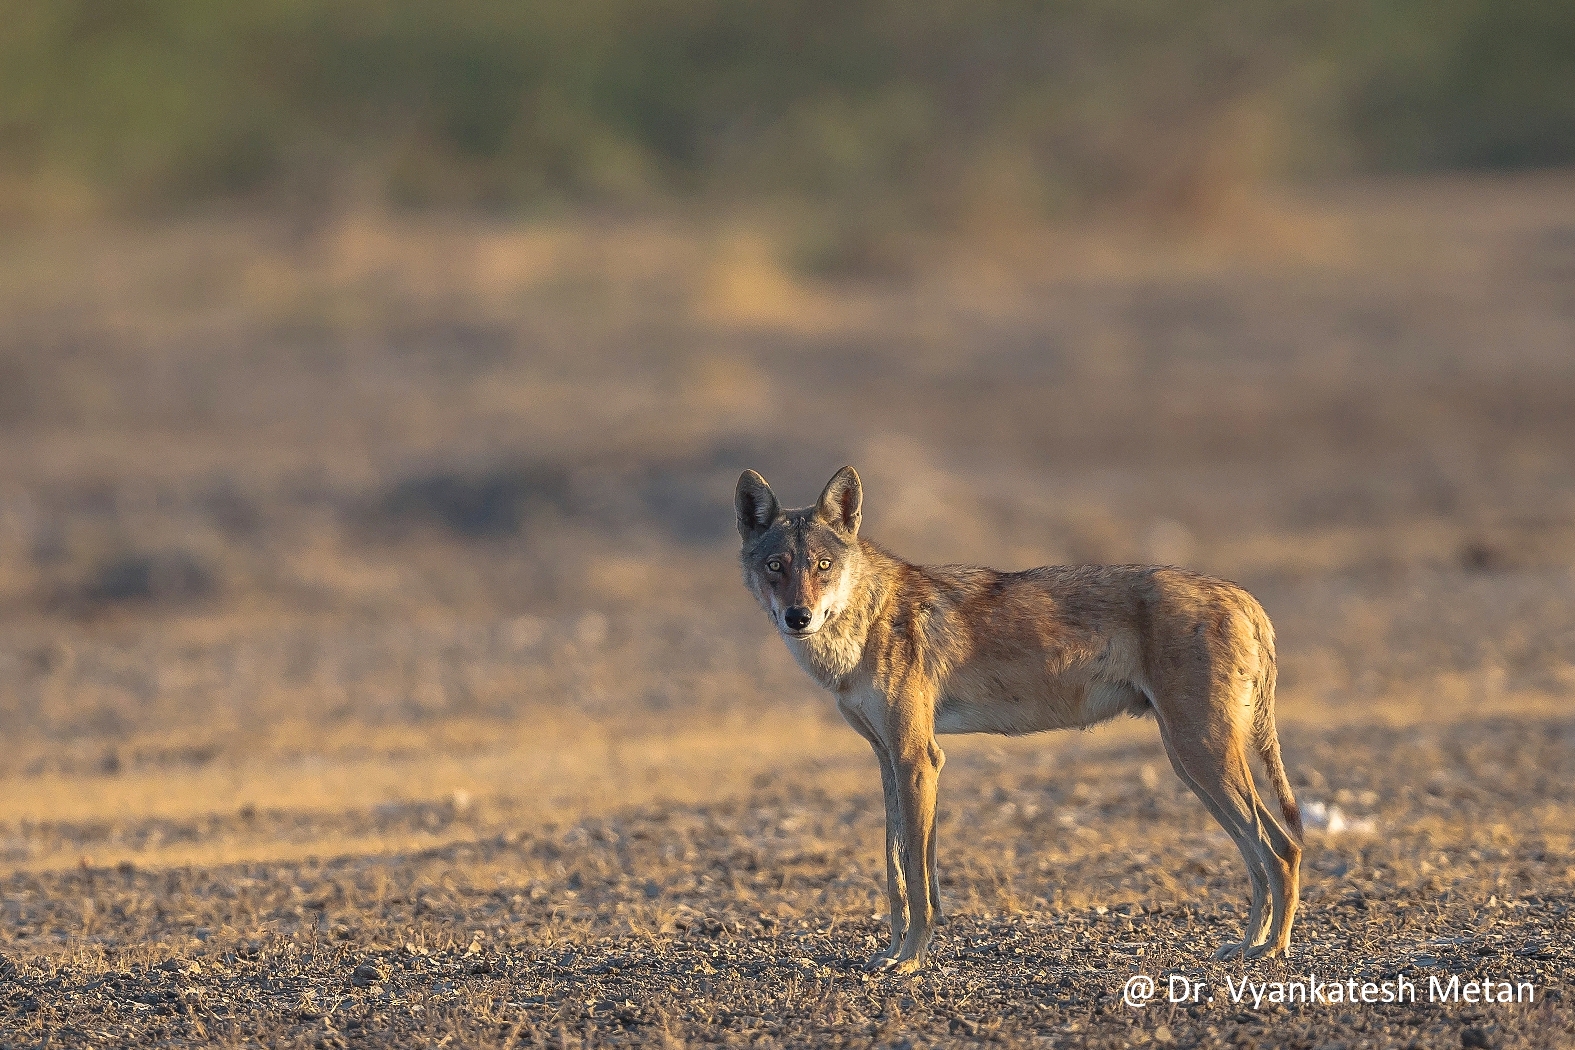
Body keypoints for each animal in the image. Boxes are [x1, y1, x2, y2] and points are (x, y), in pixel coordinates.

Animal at [736, 466, 1303, 973]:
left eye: (823, 564)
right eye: (777, 566)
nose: (798, 617)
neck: (865, 624)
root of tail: (1243, 596)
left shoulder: (920, 758)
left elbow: (918, 877)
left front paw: (912, 959)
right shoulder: (888, 760)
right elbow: (896, 872)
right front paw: (891, 952)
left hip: (1200, 755)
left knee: (1281, 849)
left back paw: (1271, 951)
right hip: (1191, 764)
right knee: (1264, 852)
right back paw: (1247, 944)